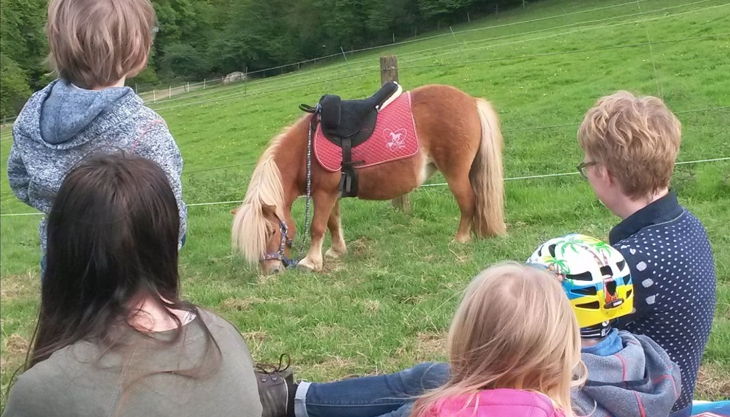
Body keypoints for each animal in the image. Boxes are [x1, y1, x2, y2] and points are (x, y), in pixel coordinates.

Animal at [232, 84, 505, 274]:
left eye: (272, 230)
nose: (272, 271)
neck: (304, 151)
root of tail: (471, 102)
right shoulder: (331, 194)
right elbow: (333, 223)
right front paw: (337, 250)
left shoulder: (323, 194)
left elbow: (317, 227)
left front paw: (311, 262)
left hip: (456, 174)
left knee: (469, 202)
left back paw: (460, 239)